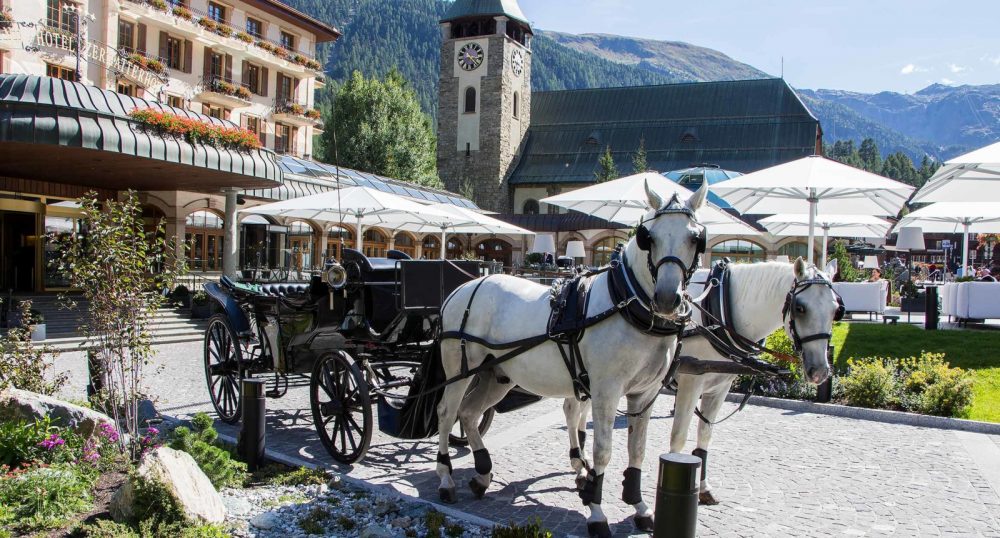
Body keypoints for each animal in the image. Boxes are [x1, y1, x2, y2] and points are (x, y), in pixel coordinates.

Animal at [434, 182, 708, 532]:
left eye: (694, 238)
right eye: (650, 236)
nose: (666, 299)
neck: (626, 304)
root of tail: (464, 288)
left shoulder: (644, 394)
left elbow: (638, 450)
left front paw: (640, 507)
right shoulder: (606, 391)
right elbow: (603, 450)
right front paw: (596, 511)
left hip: (497, 376)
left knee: (469, 413)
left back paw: (482, 474)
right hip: (460, 370)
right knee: (447, 412)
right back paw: (445, 479)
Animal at [564, 258, 844, 504]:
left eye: (836, 310)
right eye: (800, 308)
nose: (820, 371)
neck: (722, 310)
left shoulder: (720, 386)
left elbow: (705, 435)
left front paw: (704, 488)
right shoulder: (690, 382)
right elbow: (679, 436)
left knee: (578, 409)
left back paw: (582, 462)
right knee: (572, 410)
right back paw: (579, 464)